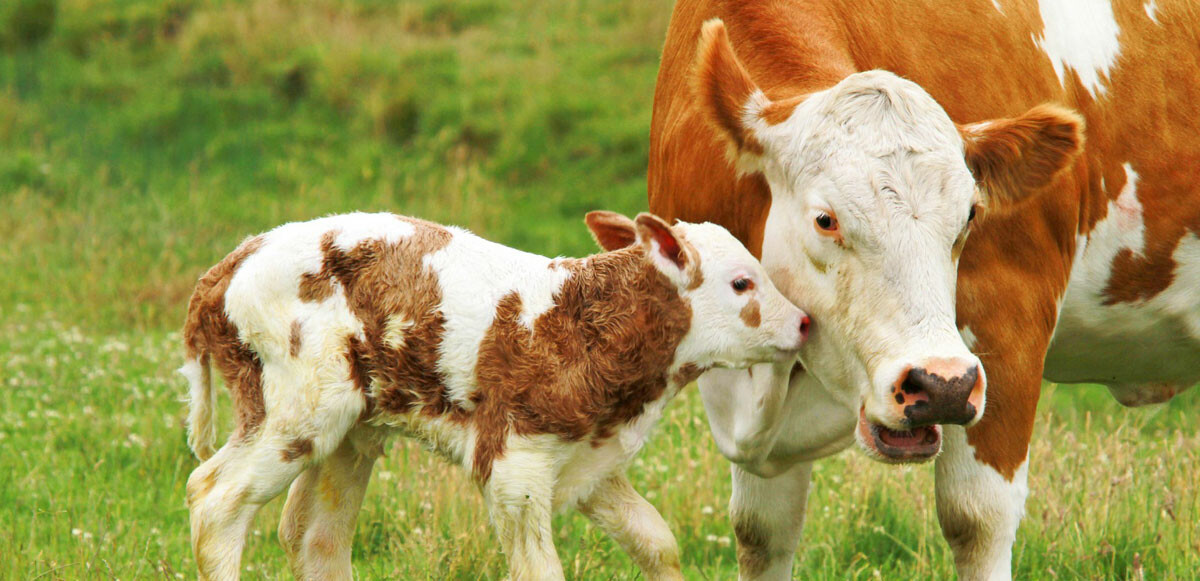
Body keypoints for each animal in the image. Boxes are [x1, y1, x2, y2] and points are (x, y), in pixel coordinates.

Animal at [180, 212, 806, 581]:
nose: (803, 323)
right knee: (216, 499)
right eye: (742, 283)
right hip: (300, 407)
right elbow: (540, 571)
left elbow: (656, 541)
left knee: (315, 536)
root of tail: (231, 262)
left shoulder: (588, 456)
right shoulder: (515, 463)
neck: (582, 326)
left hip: (352, 428)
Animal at [652, 1, 1200, 581]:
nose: (942, 387)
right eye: (825, 219)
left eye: (971, 215)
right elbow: (761, 530)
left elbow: (977, 518)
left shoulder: (1008, 322)